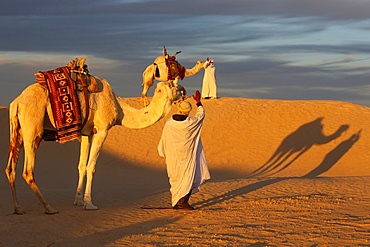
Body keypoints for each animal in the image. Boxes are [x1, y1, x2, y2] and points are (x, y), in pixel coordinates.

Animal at [5, 71, 184, 214]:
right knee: (27, 171)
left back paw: (18, 208)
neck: (119, 108)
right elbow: (91, 167)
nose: (184, 91)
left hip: (17, 131)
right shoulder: (102, 130)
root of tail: (16, 102)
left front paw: (78, 200)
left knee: (10, 169)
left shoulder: (86, 133)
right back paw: (49, 208)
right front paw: (89, 203)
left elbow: (81, 166)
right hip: (32, 129)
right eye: (173, 85)